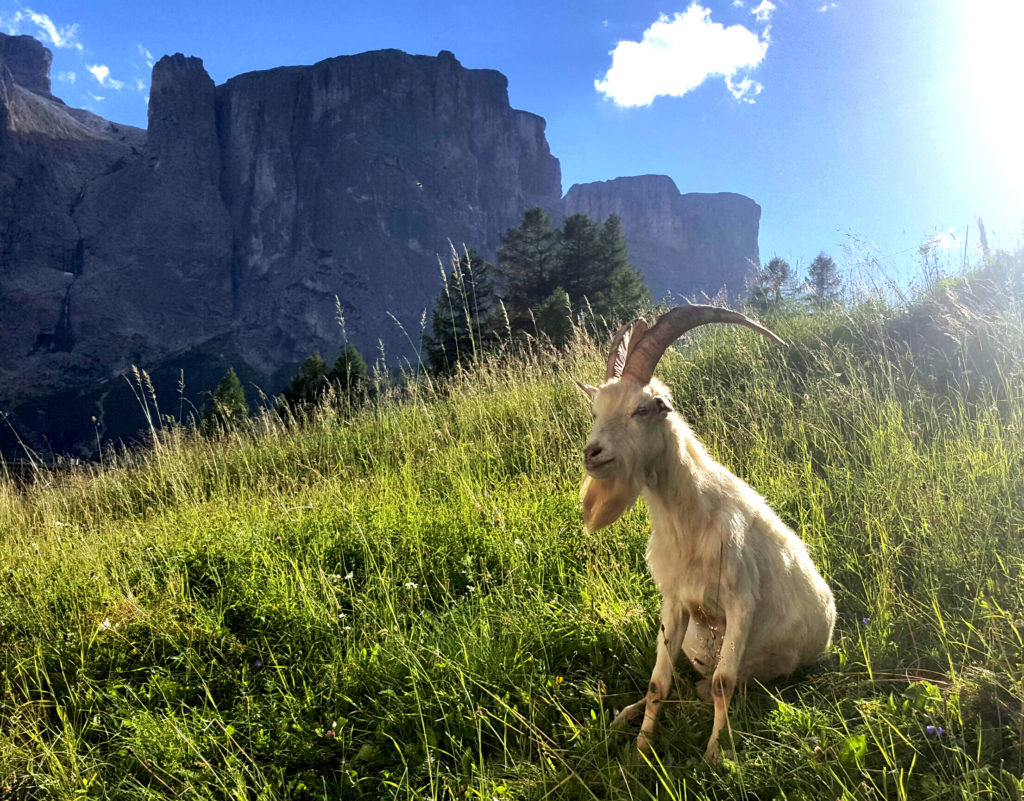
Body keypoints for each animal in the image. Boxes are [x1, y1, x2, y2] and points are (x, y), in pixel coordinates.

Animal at [581, 305, 835, 762]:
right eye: (596, 411)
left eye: (644, 409)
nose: (593, 453)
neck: (691, 517)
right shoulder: (675, 604)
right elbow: (658, 682)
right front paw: (642, 748)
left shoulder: (740, 604)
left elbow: (722, 683)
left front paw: (716, 755)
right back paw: (622, 717)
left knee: (707, 686)